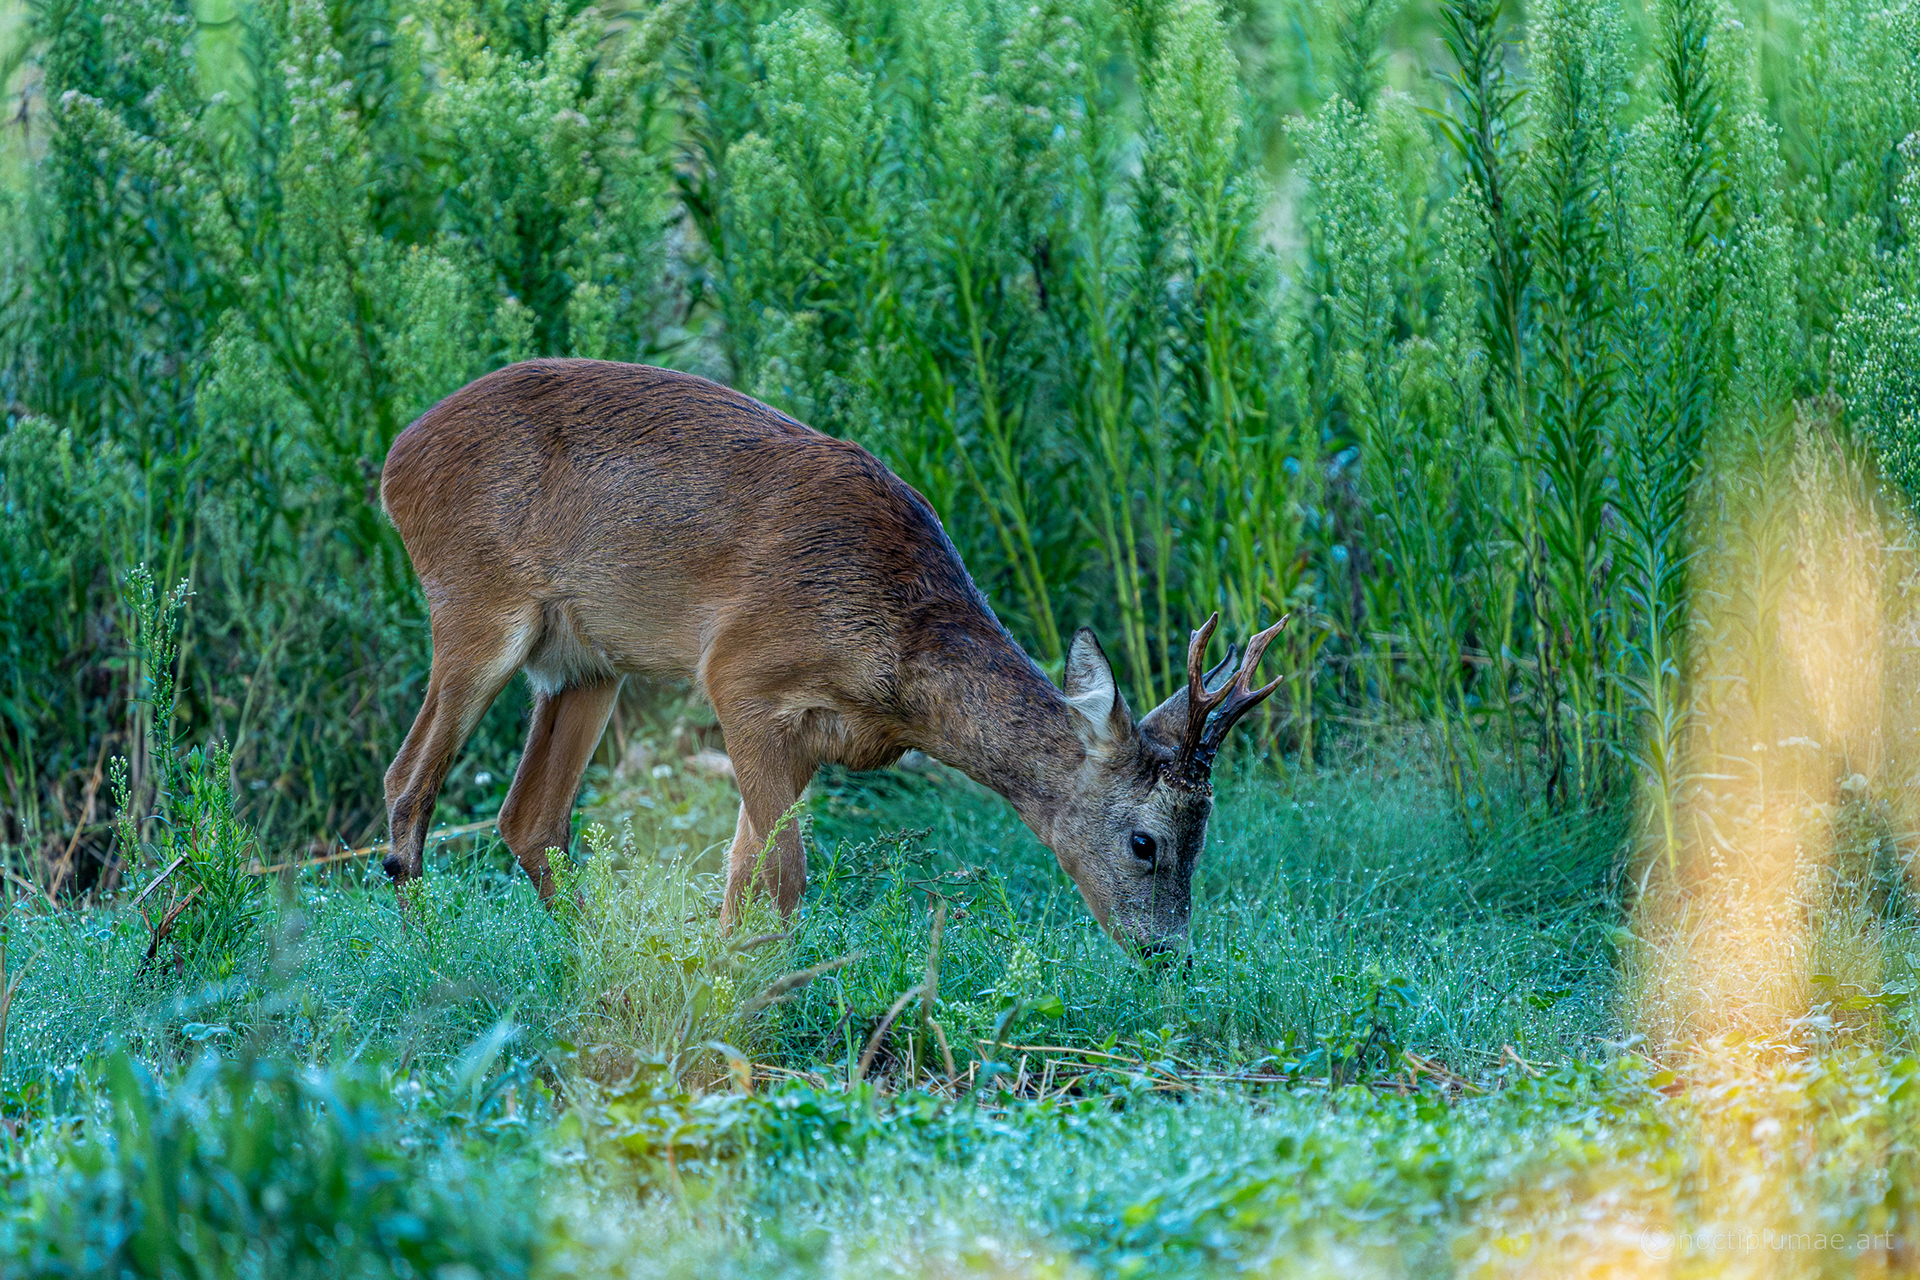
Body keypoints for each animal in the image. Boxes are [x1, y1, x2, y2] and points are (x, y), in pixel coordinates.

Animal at [378, 360, 1286, 952]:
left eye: (1204, 837)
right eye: (1145, 842)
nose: (1168, 953)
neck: (898, 658)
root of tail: (393, 461)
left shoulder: (815, 735)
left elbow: (743, 875)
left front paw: (725, 979)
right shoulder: (739, 674)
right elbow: (783, 874)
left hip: (586, 662)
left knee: (529, 816)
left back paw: (593, 952)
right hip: (475, 603)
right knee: (409, 779)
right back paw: (426, 948)